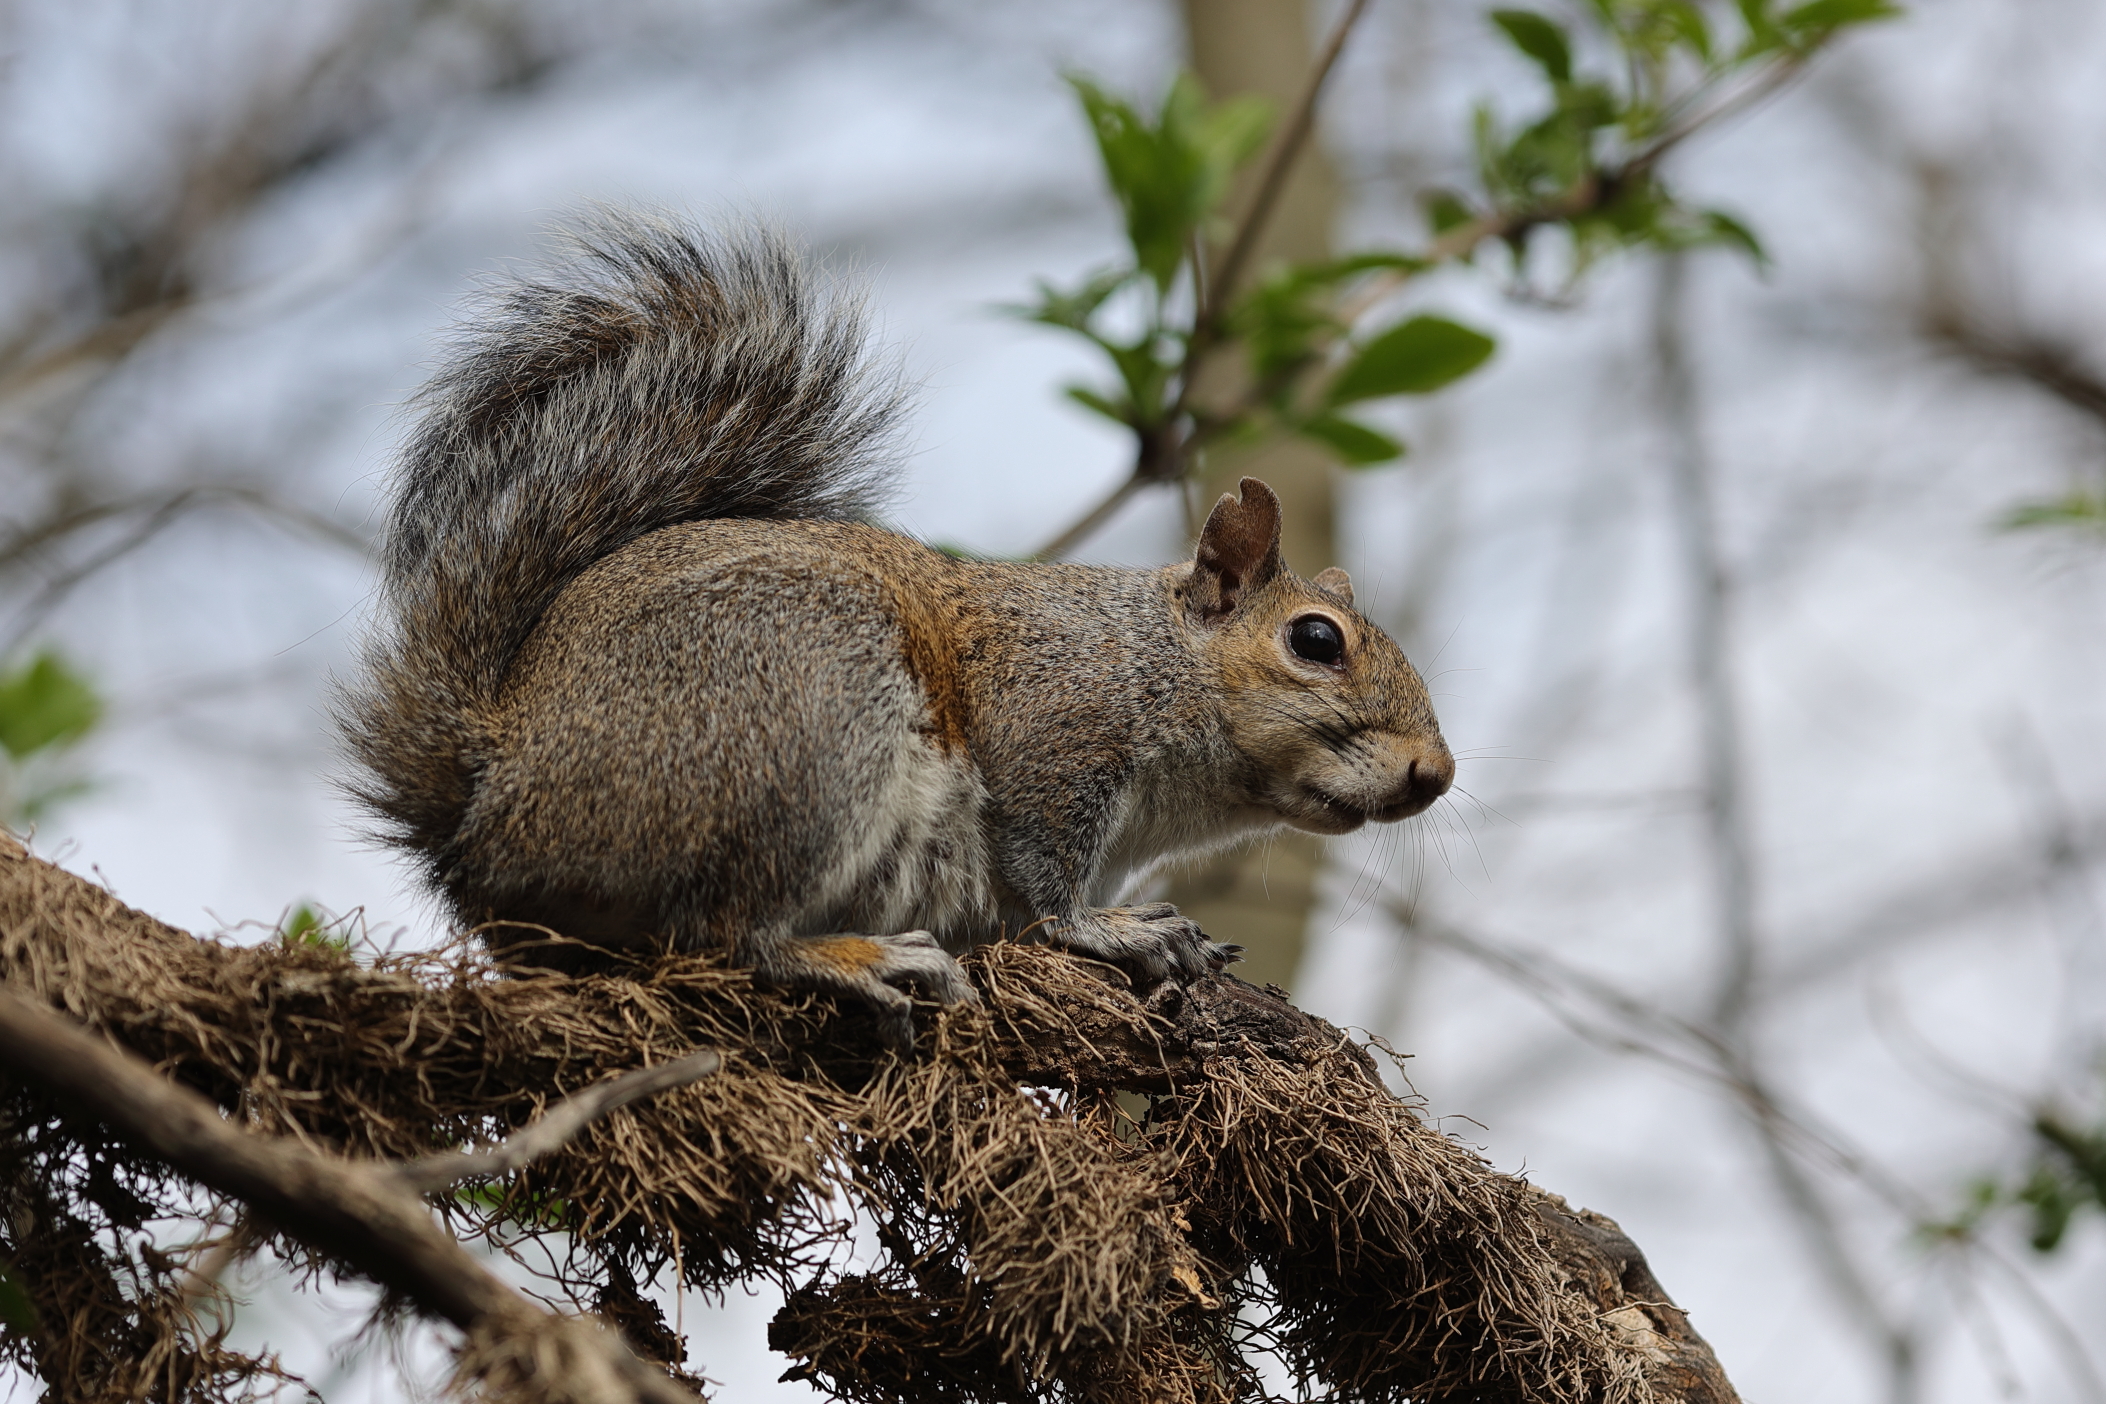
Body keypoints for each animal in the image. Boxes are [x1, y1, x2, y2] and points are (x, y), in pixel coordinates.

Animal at [339, 214, 1455, 1045]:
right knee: (716, 934)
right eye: (1316, 641)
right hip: (804, 712)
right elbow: (1041, 877)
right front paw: (1110, 933)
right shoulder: (1052, 726)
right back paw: (857, 957)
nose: (1434, 775)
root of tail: (493, 804)